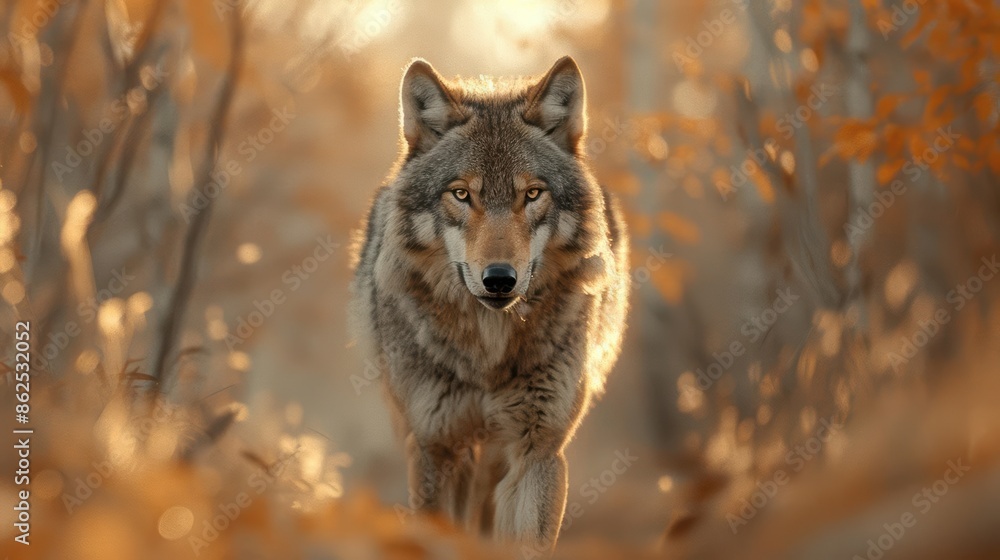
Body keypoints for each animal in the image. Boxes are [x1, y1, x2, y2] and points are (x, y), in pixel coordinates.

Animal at [349, 56, 629, 551]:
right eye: (462, 194)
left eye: (532, 194)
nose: (499, 279)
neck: (488, 353)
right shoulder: (435, 450)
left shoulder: (537, 451)